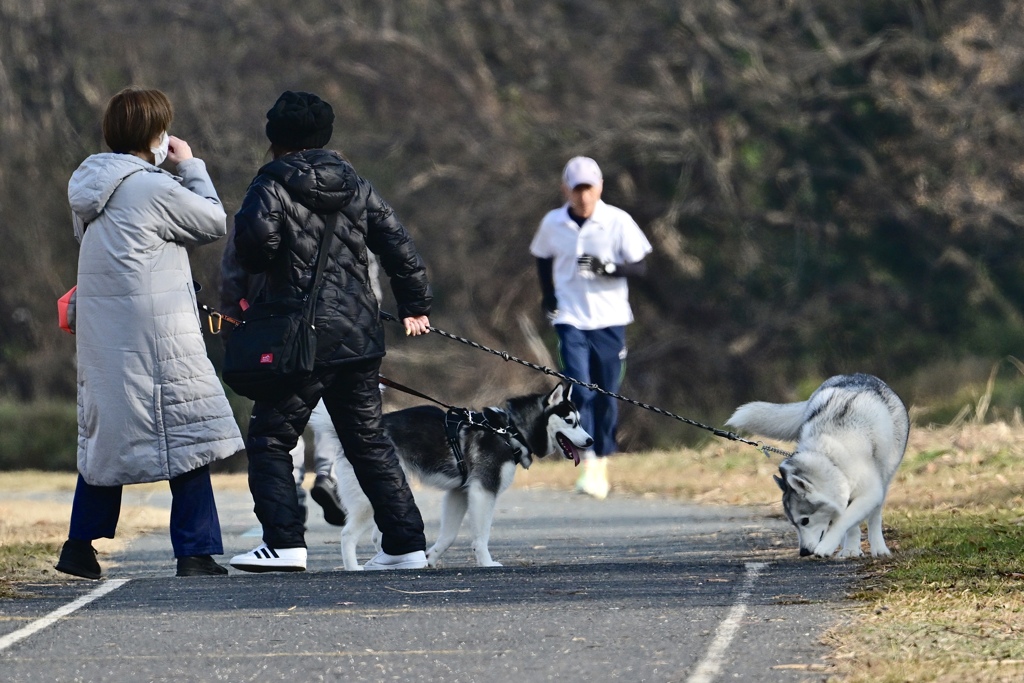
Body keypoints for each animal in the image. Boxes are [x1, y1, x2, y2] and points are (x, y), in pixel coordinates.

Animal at [307, 385, 593, 573]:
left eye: (579, 421)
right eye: (570, 421)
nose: (590, 441)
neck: (509, 431)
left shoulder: (459, 493)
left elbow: (449, 536)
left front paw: (431, 558)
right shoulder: (483, 491)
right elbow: (481, 536)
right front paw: (486, 563)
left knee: (378, 537)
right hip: (370, 499)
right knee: (348, 535)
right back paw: (354, 568)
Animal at [724, 374, 909, 561]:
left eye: (805, 521)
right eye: (793, 523)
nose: (804, 552)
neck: (830, 457)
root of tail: (858, 375)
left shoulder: (869, 493)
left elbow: (845, 520)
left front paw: (826, 547)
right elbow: (848, 523)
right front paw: (849, 549)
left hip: (885, 479)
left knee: (875, 516)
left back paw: (879, 548)